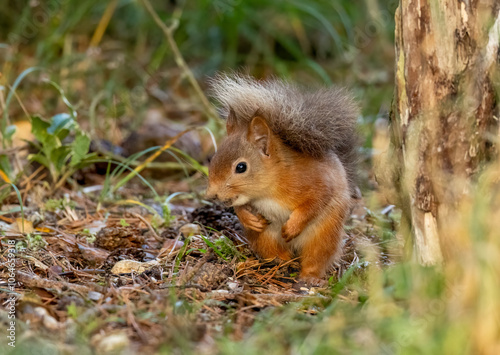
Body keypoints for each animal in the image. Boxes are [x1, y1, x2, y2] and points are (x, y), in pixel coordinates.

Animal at [206, 75, 360, 286]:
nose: (211, 195)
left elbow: (316, 201)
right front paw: (248, 218)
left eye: (241, 167)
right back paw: (281, 263)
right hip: (266, 238)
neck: (268, 189)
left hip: (324, 235)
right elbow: (239, 206)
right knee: (275, 252)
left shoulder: (316, 181)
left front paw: (292, 227)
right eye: (213, 158)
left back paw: (309, 277)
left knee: (316, 257)